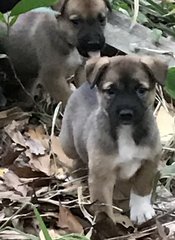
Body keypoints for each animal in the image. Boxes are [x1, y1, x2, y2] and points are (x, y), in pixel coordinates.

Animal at [59, 55, 168, 224]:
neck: (126, 132)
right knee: (74, 159)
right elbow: (103, 205)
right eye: (111, 91)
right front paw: (107, 225)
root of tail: (84, 85)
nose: (126, 114)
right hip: (68, 143)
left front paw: (141, 210)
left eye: (141, 90)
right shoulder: (101, 175)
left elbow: (142, 187)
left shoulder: (150, 160)